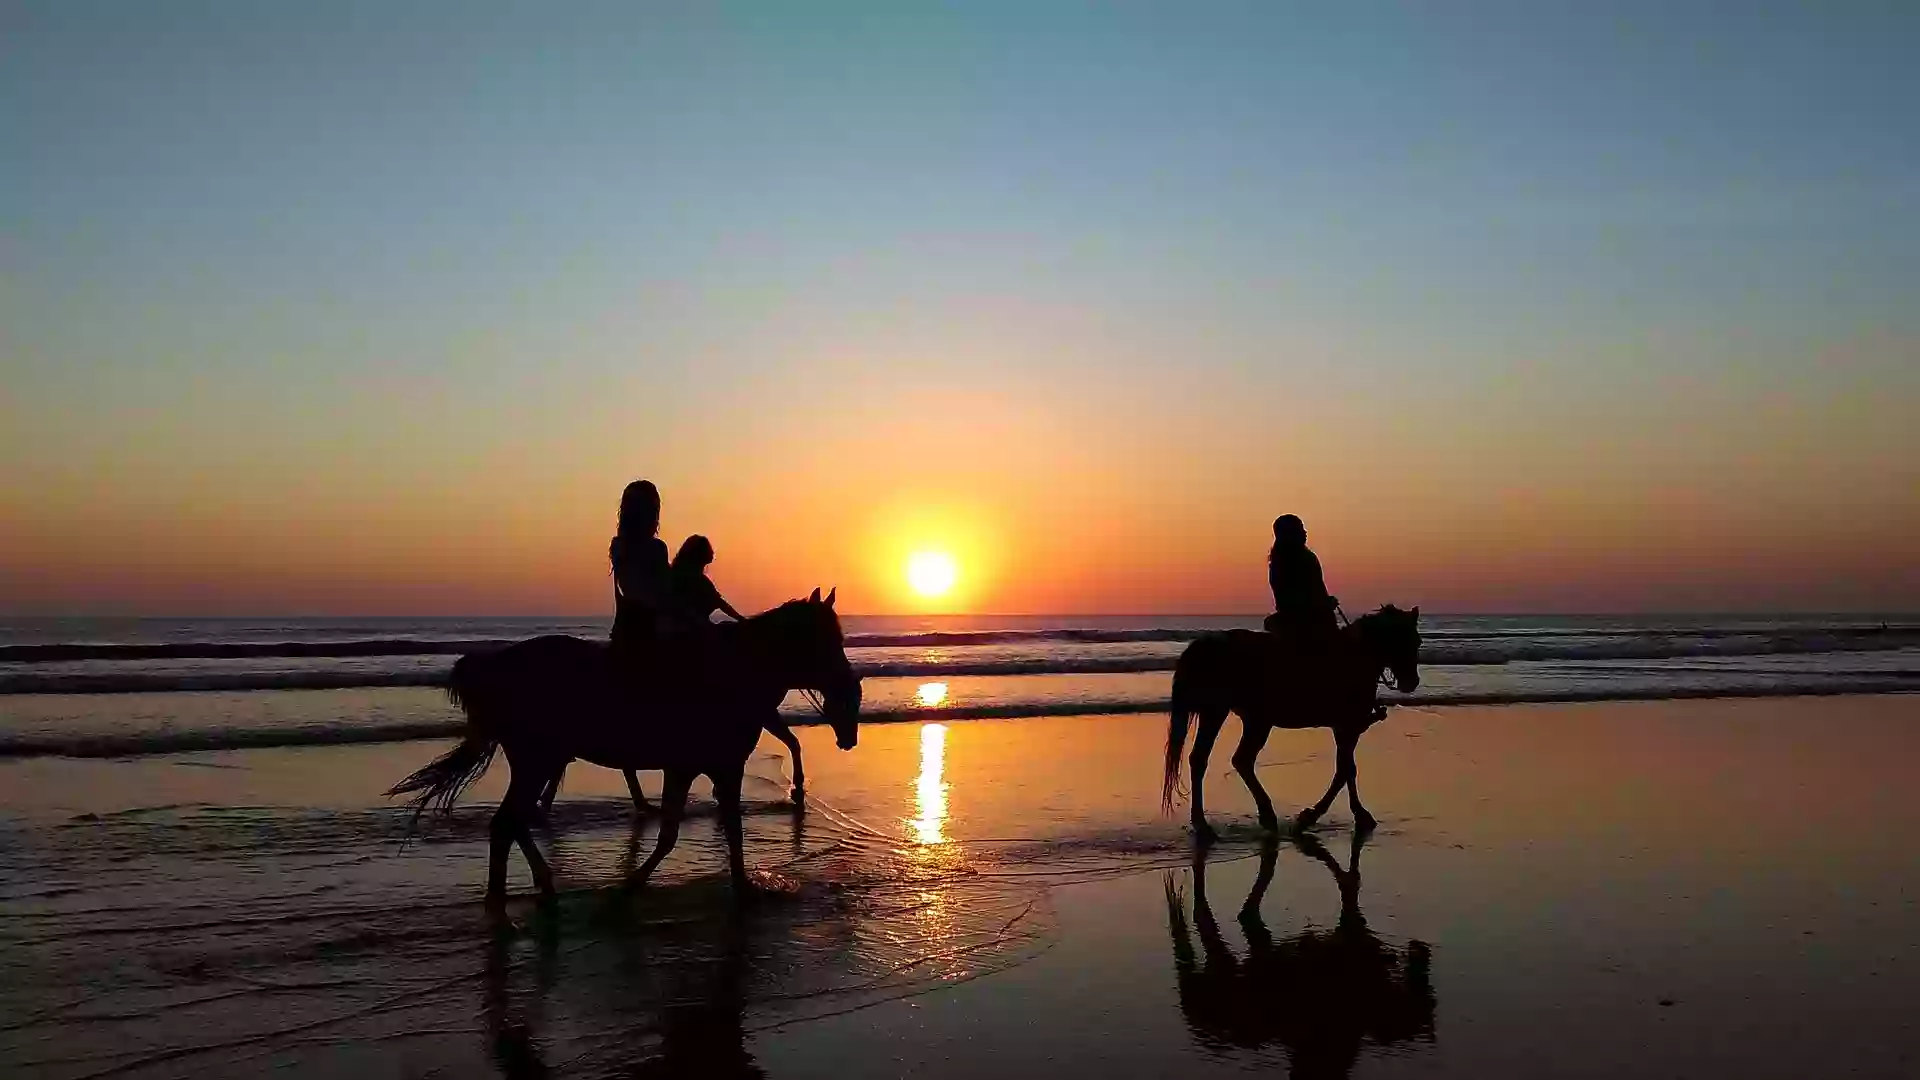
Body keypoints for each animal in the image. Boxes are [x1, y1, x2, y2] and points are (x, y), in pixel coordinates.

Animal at [385, 588, 860, 899]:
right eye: (825, 640)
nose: (849, 690)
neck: (733, 671)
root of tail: (495, 665)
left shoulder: (711, 767)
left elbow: (725, 831)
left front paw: (740, 884)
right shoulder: (698, 767)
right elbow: (677, 833)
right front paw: (635, 882)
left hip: (538, 760)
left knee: (513, 822)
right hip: (536, 759)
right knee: (506, 824)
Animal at [1159, 599, 1420, 837]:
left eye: (1416, 641)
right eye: (1401, 639)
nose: (1411, 682)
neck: (1356, 656)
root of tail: (1204, 646)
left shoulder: (1345, 728)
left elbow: (1346, 770)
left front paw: (1354, 814)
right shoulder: (1347, 726)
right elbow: (1345, 770)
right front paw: (1313, 817)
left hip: (1244, 718)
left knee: (1223, 760)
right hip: (1225, 713)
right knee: (1221, 759)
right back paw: (1220, 821)